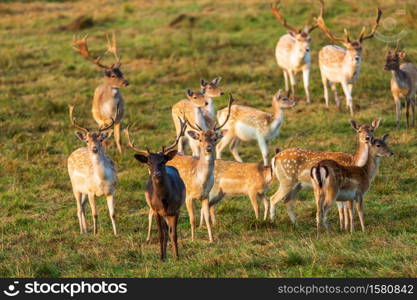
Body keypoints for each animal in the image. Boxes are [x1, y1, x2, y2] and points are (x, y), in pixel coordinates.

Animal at [66, 104, 116, 236]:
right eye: (87, 140)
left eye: (101, 140)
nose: (94, 149)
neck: (102, 179)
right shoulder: (91, 192)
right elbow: (95, 214)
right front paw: (95, 232)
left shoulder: (111, 191)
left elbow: (113, 214)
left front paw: (116, 233)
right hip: (75, 187)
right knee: (79, 208)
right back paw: (82, 231)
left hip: (84, 191)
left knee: (82, 207)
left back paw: (86, 229)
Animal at [124, 120, 186, 262]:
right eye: (149, 162)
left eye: (163, 161)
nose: (156, 174)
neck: (164, 199)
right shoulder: (157, 210)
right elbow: (161, 235)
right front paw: (162, 257)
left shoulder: (176, 209)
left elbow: (174, 234)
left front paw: (177, 257)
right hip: (157, 211)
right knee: (164, 231)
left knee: (169, 231)